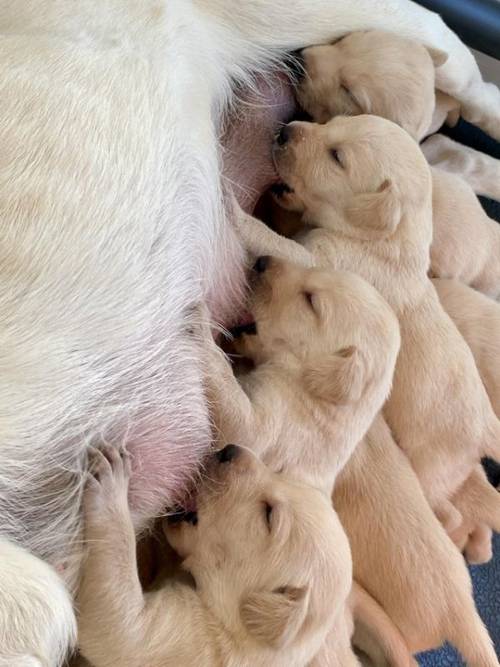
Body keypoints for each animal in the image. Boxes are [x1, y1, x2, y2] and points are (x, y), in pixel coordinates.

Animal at [78, 444, 352, 667]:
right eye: (281, 473)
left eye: (269, 514)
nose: (228, 450)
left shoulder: (190, 641)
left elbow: (120, 627)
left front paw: (111, 483)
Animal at [254, 113, 500, 520]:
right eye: (336, 121)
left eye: (337, 157)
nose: (286, 129)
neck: (388, 244)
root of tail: (486, 427)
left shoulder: (322, 260)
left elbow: (275, 244)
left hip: (433, 462)